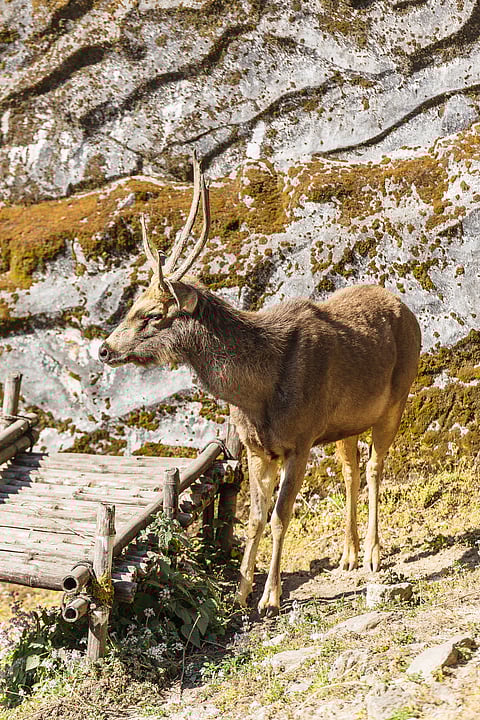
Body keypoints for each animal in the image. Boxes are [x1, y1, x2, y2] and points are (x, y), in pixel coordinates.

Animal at [98, 153, 422, 617]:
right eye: (132, 306)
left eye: (153, 314)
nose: (104, 349)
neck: (257, 394)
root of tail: (406, 309)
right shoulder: (255, 448)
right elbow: (253, 517)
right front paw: (239, 592)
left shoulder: (301, 440)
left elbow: (280, 516)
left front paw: (270, 597)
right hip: (347, 421)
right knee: (351, 467)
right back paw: (348, 554)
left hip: (399, 393)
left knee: (377, 466)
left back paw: (374, 555)